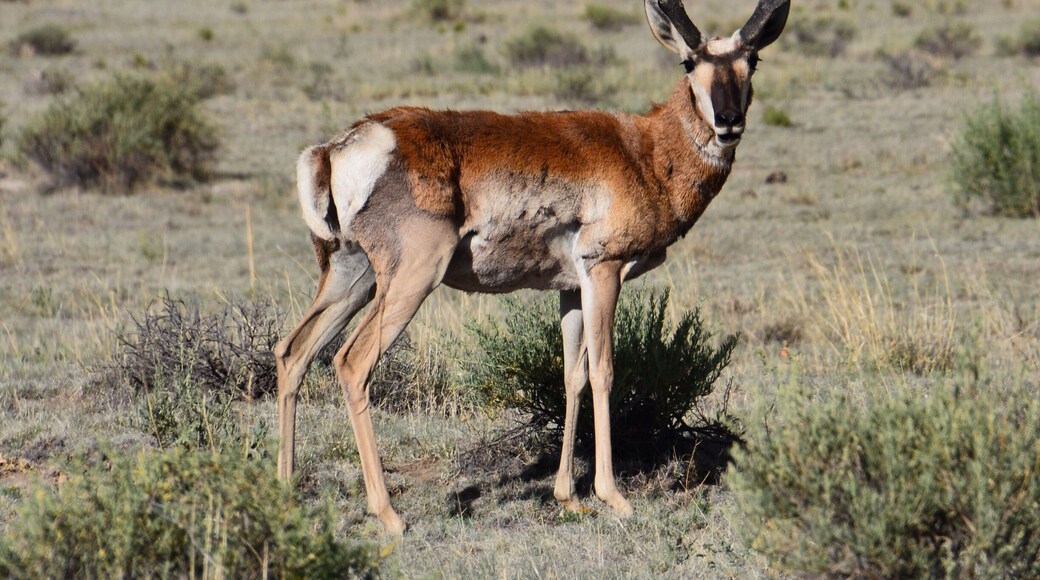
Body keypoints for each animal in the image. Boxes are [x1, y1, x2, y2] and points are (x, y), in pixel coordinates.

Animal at [275, 0, 790, 533]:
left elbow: (572, 376)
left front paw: (568, 496)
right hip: (410, 282)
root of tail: (338, 147)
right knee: (351, 362)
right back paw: (389, 514)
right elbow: (604, 371)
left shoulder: (571, 289)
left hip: (352, 279)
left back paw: (286, 493)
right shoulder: (604, 271)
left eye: (752, 61)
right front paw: (612, 496)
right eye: (690, 62)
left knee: (293, 352)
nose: (728, 121)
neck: (643, 151)